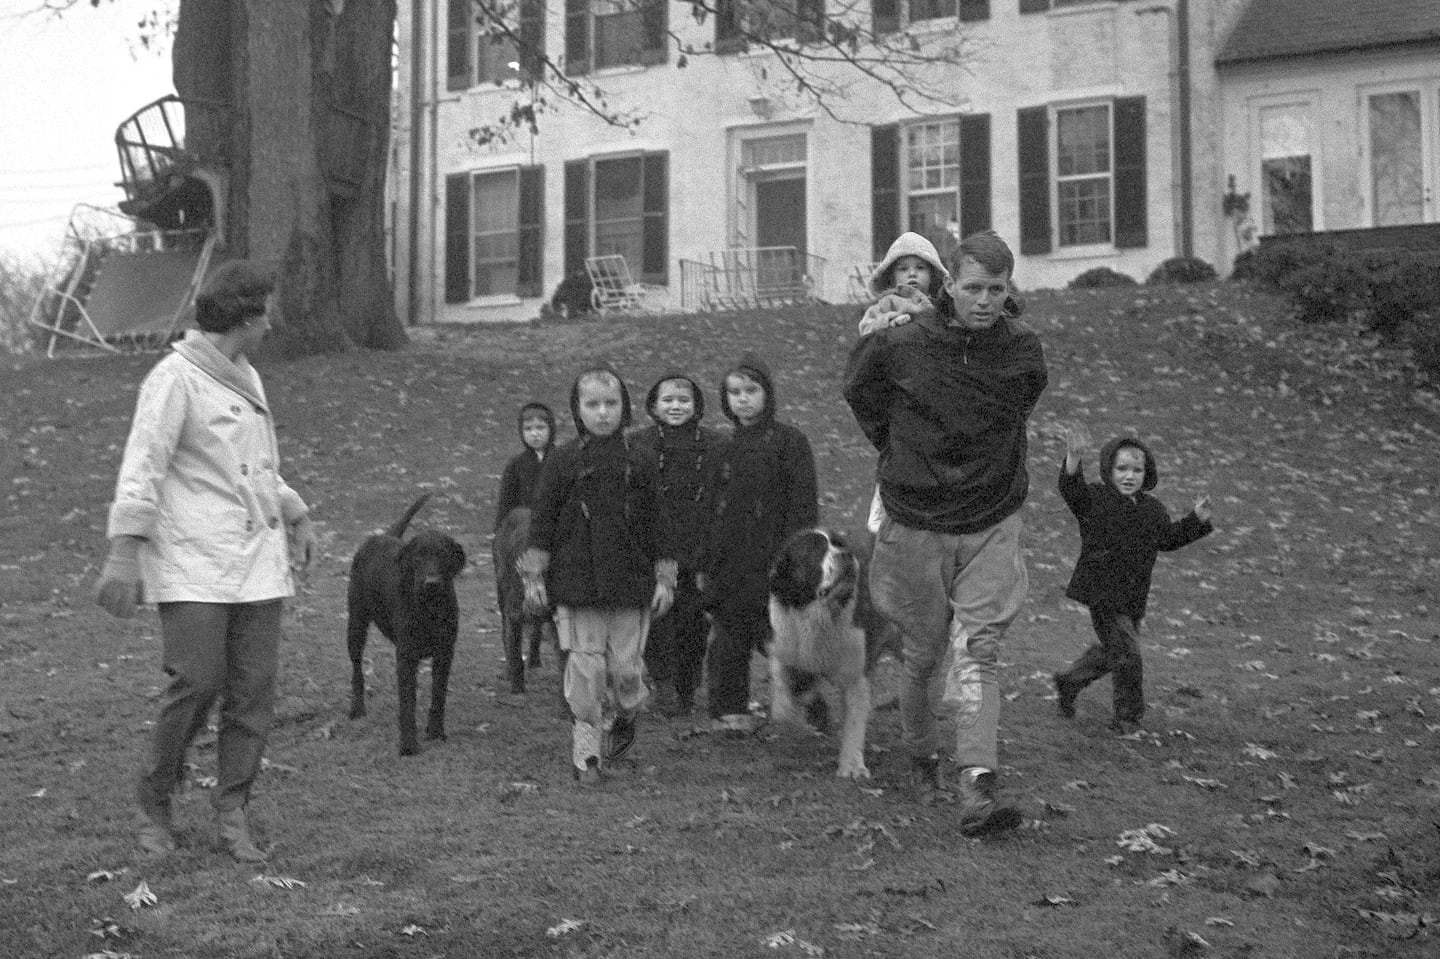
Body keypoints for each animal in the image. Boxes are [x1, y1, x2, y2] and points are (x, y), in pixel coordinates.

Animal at [347, 492, 466, 754]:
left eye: (443, 554)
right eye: (419, 555)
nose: (431, 582)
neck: (429, 608)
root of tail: (382, 535)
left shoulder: (445, 653)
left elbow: (438, 695)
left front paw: (436, 732)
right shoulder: (406, 657)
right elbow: (408, 701)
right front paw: (409, 744)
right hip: (355, 624)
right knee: (357, 669)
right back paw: (357, 708)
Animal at [771, 529, 892, 777]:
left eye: (840, 544)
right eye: (815, 549)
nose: (845, 555)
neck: (819, 615)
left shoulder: (857, 674)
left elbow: (854, 721)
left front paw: (853, 765)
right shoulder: (787, 647)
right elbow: (787, 682)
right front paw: (790, 708)